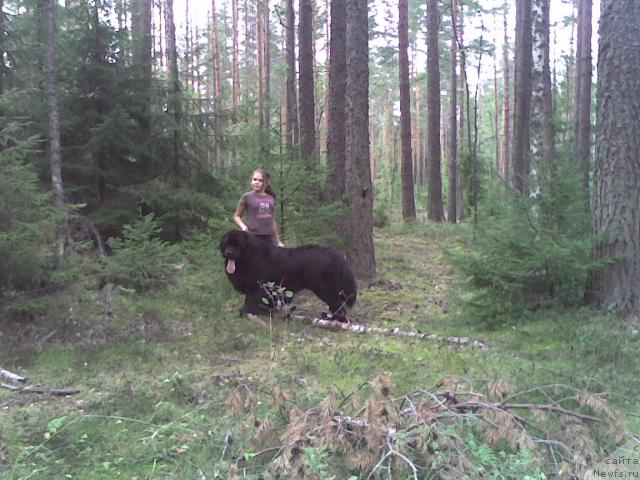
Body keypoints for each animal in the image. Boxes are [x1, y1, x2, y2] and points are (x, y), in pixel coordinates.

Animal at [221, 230, 358, 322]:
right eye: (226, 244)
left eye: (236, 244)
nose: (228, 252)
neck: (249, 256)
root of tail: (334, 253)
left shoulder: (257, 287)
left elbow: (250, 301)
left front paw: (246, 314)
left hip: (325, 288)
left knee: (338, 305)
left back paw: (335, 319)